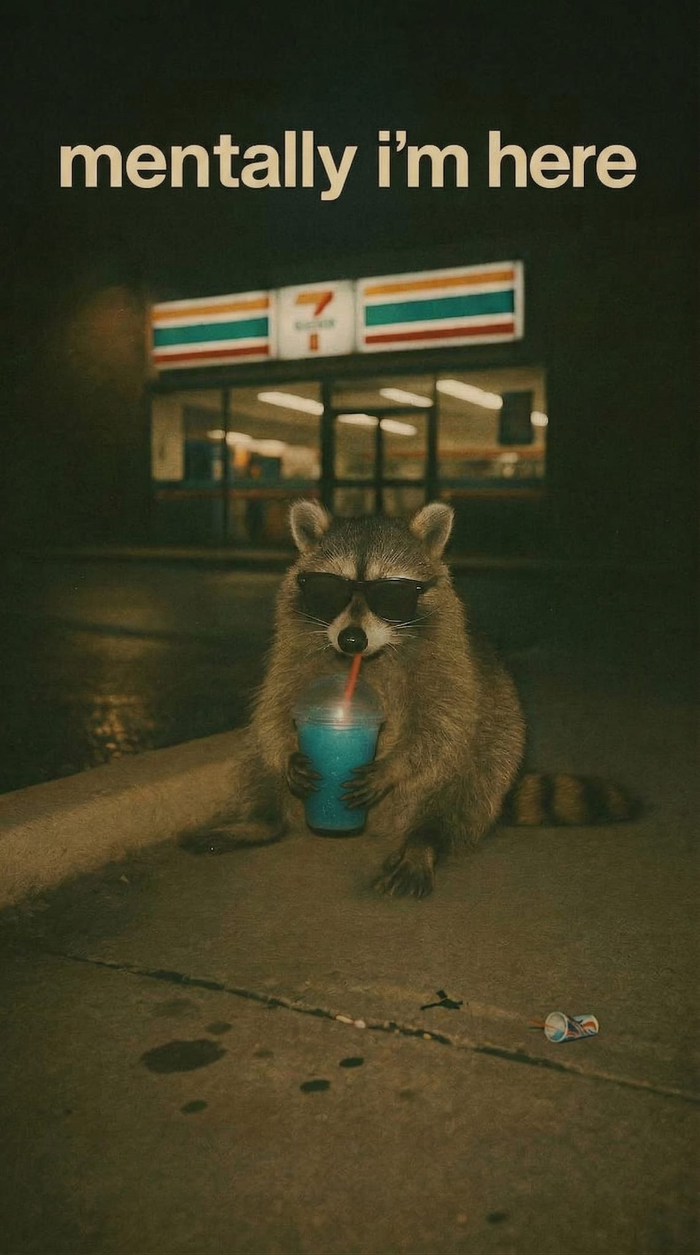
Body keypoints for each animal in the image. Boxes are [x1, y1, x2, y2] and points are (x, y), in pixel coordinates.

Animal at [187, 500, 635, 896]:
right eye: (328, 590)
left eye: (391, 594)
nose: (351, 640)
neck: (368, 657)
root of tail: (381, 826)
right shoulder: (292, 654)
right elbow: (274, 711)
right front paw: (287, 755)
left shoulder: (451, 664)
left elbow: (442, 725)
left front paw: (394, 768)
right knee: (256, 754)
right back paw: (262, 819)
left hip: (494, 751)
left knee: (466, 781)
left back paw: (424, 842)